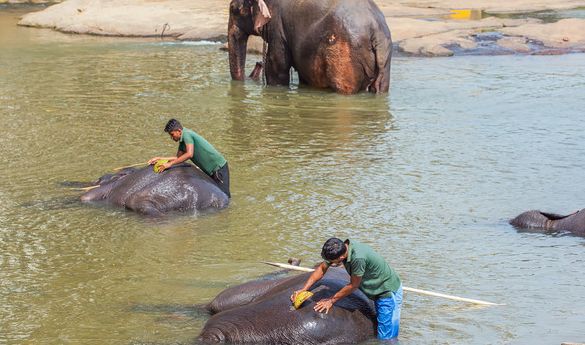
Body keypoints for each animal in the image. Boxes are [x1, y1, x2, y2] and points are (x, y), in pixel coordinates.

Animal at [228, 0, 392, 94]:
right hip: (384, 61)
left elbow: (277, 68)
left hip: (345, 54)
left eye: (233, 9)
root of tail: (376, 31)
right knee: (380, 88)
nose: (258, 64)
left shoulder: (278, 27)